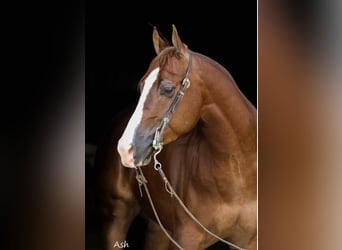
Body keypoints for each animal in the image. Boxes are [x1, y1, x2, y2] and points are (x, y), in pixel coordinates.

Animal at [96, 25, 256, 250]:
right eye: (140, 86)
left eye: (167, 89)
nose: (125, 149)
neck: (238, 171)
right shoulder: (187, 238)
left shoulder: (247, 242)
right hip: (115, 219)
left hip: (158, 227)